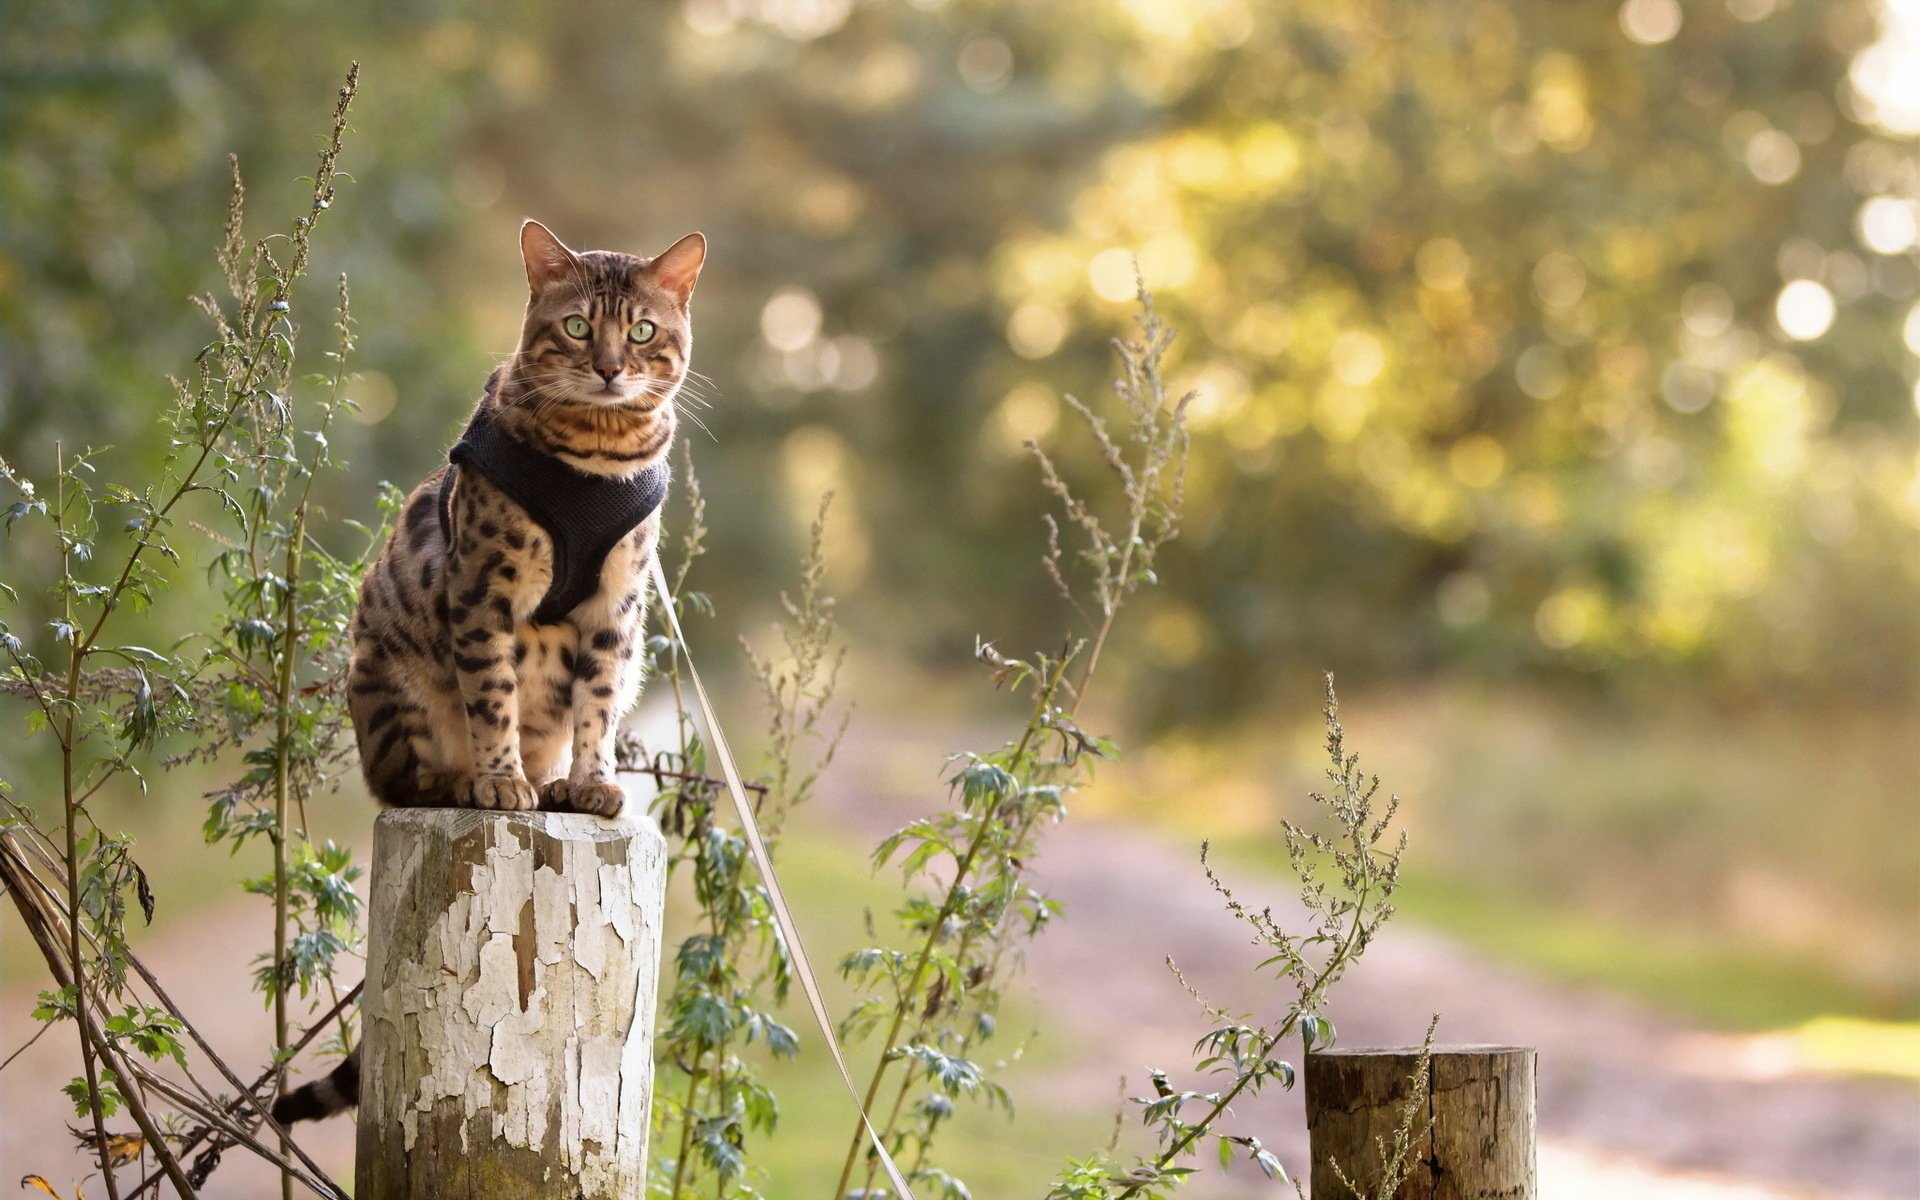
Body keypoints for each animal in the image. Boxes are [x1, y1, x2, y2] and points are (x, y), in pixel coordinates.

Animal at [274, 219, 710, 1128]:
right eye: (577, 327)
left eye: (640, 330)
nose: (609, 365)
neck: (600, 451)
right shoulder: (483, 590)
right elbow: (493, 695)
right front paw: (500, 778)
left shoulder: (619, 609)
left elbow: (598, 705)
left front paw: (590, 781)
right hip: (393, 680)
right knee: (402, 777)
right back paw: (468, 780)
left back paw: (549, 784)